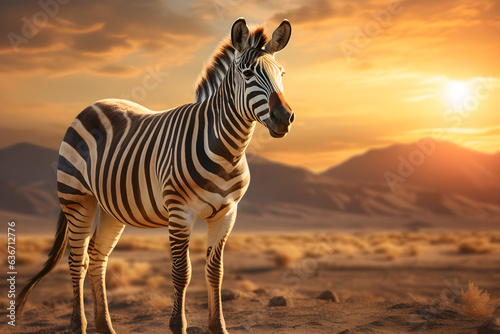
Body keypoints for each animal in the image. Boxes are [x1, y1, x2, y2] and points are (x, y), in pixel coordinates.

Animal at [17, 18, 292, 334]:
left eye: (281, 74)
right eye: (247, 74)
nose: (285, 117)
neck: (227, 149)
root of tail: (94, 104)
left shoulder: (226, 213)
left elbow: (216, 272)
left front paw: (218, 326)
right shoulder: (180, 213)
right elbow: (182, 272)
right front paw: (177, 325)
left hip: (110, 207)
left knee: (97, 256)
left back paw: (105, 325)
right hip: (77, 199)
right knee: (78, 259)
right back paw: (78, 324)